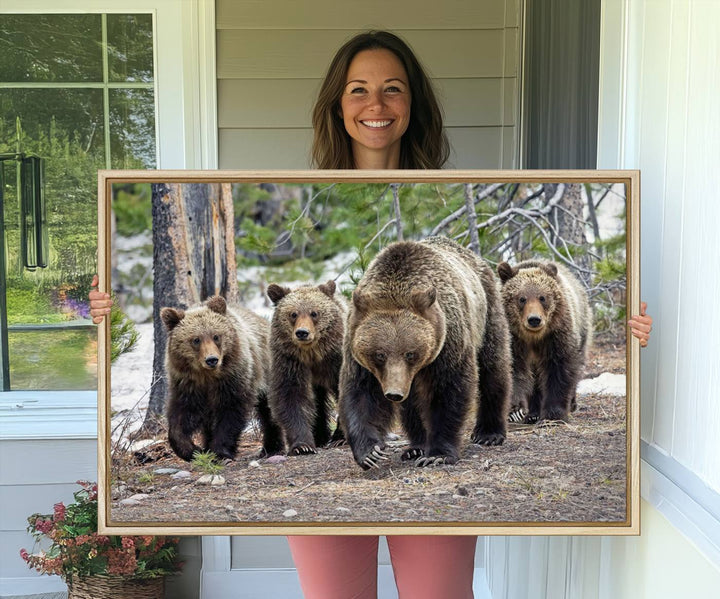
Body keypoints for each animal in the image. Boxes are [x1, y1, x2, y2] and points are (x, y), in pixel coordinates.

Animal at [160, 298, 282, 462]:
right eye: (196, 339)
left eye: (216, 336)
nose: (212, 359)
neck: (208, 376)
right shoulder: (187, 384)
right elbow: (181, 416)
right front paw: (193, 450)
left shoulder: (233, 378)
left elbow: (230, 412)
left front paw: (220, 451)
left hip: (267, 370)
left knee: (269, 410)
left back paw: (272, 447)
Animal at [266, 282, 348, 454]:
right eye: (293, 314)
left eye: (314, 313)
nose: (302, 332)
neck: (313, 354)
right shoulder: (290, 361)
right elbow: (291, 397)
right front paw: (302, 446)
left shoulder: (336, 360)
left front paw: (340, 437)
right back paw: (320, 436)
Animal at [338, 237, 512, 472]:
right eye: (380, 354)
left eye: (410, 353)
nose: (393, 393)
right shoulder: (356, 349)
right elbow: (361, 394)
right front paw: (370, 452)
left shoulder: (448, 340)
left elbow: (449, 390)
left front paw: (438, 454)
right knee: (412, 403)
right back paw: (416, 446)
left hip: (486, 313)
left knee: (493, 368)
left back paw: (489, 433)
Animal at [498, 260, 592, 424]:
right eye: (521, 298)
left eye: (542, 297)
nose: (534, 319)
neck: (533, 337)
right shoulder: (514, 340)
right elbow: (514, 370)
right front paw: (514, 410)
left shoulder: (556, 336)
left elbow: (559, 369)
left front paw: (553, 414)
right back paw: (533, 413)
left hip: (582, 327)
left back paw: (572, 403)